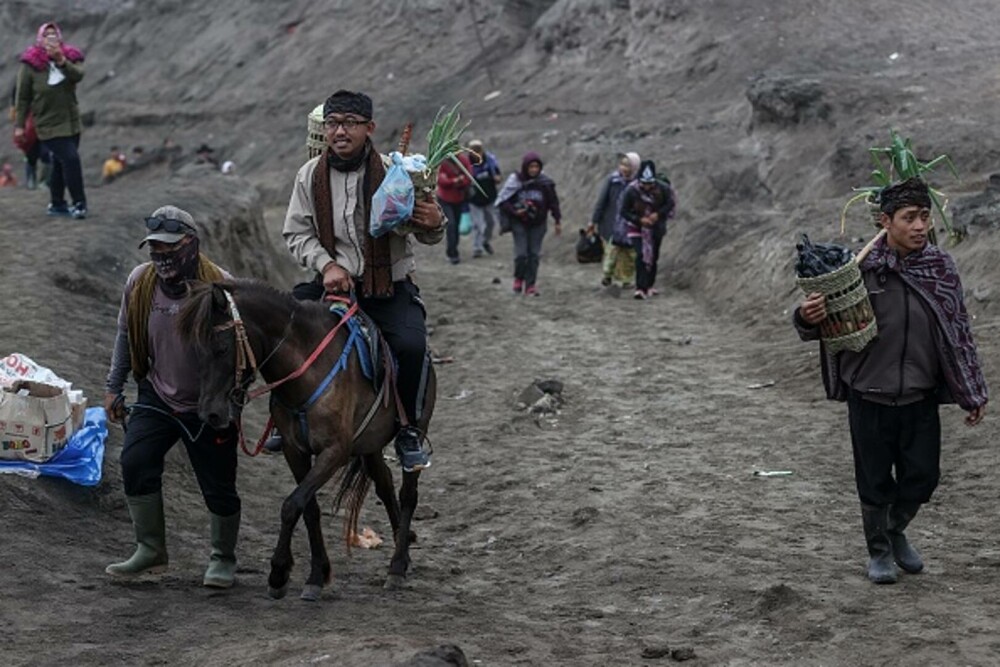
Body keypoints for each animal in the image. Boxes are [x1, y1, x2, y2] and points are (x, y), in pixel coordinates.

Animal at [178, 280, 436, 604]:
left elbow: (292, 505)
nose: (210, 414)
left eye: (222, 347)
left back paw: (398, 566)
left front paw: (278, 573)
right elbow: (308, 508)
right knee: (385, 485)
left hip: (415, 429)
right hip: (370, 444)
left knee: (408, 494)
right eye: (194, 351)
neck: (307, 369)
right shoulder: (295, 451)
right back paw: (404, 548)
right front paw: (317, 574)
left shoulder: (334, 452)